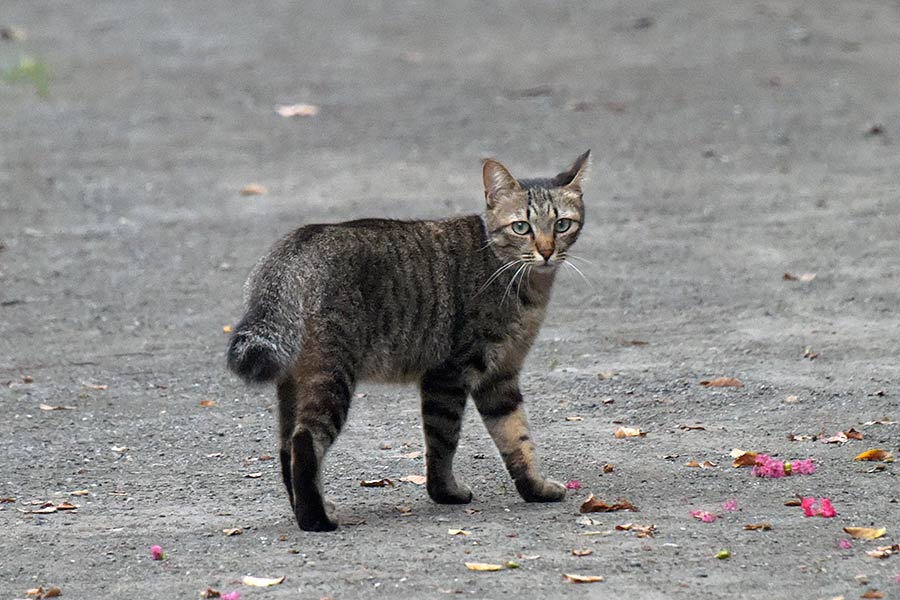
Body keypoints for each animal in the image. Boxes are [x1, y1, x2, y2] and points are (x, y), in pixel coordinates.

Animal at [225, 152, 592, 532]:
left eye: (561, 225)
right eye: (522, 227)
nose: (546, 251)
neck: (521, 281)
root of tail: (294, 246)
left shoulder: (500, 378)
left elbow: (517, 439)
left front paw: (535, 488)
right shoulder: (449, 375)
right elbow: (443, 442)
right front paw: (445, 493)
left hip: (293, 383)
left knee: (285, 446)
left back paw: (305, 509)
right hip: (331, 376)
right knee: (304, 441)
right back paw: (316, 520)